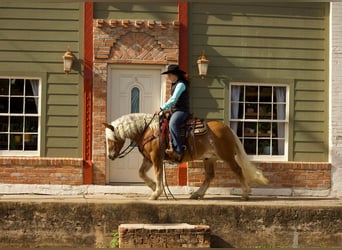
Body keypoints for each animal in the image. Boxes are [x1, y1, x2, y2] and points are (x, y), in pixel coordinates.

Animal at [103, 112, 268, 200]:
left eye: (111, 139)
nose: (110, 156)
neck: (148, 131)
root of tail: (227, 128)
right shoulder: (148, 159)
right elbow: (141, 173)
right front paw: (154, 188)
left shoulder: (156, 158)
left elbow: (158, 174)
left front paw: (156, 192)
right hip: (209, 158)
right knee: (209, 176)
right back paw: (197, 193)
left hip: (227, 156)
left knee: (238, 170)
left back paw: (245, 193)